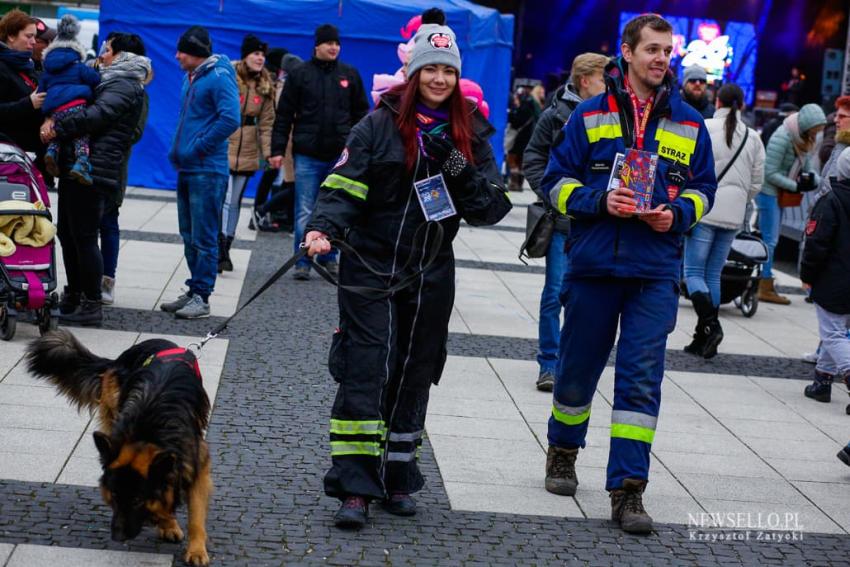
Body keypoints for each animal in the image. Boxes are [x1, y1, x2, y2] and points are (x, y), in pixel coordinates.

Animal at [26, 330, 214, 564]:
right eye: (114, 496)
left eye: (137, 500)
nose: (117, 537)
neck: (147, 431)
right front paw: (166, 522)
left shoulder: (196, 465)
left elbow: (195, 514)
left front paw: (196, 550)